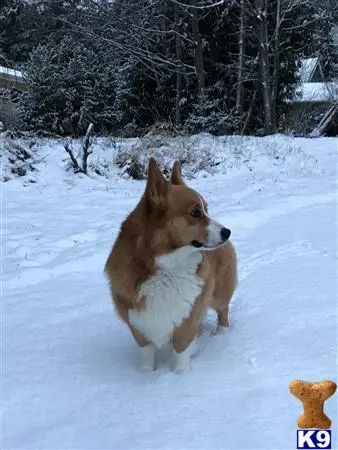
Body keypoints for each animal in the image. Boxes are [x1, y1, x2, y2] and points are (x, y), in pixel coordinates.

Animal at [104, 158, 236, 372]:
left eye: (206, 210)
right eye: (195, 213)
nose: (227, 232)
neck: (165, 266)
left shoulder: (186, 319)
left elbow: (181, 350)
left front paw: (180, 375)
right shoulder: (137, 323)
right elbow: (146, 352)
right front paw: (145, 373)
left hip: (221, 294)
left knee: (223, 312)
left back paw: (222, 335)